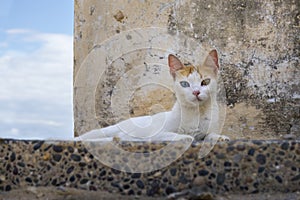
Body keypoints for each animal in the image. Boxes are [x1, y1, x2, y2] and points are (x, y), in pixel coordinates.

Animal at [77, 49, 230, 141]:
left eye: (205, 82)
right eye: (185, 84)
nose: (196, 92)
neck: (196, 113)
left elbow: (210, 135)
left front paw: (220, 137)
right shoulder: (159, 132)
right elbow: (173, 135)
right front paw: (185, 137)